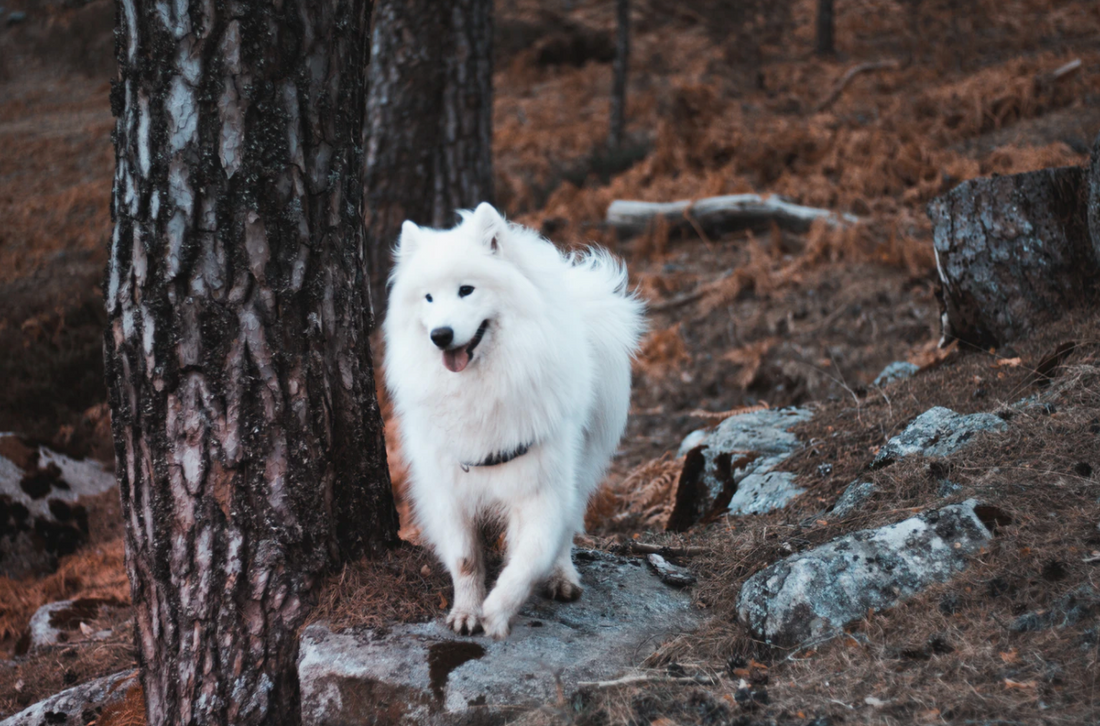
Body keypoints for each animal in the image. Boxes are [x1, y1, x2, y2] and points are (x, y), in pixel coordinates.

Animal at [387, 201, 642, 638]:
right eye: (428, 298)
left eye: (466, 290)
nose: (440, 335)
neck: (479, 389)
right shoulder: (449, 491)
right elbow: (465, 560)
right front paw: (467, 611)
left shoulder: (540, 486)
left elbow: (530, 556)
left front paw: (497, 609)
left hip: (579, 466)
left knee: (566, 531)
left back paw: (562, 578)